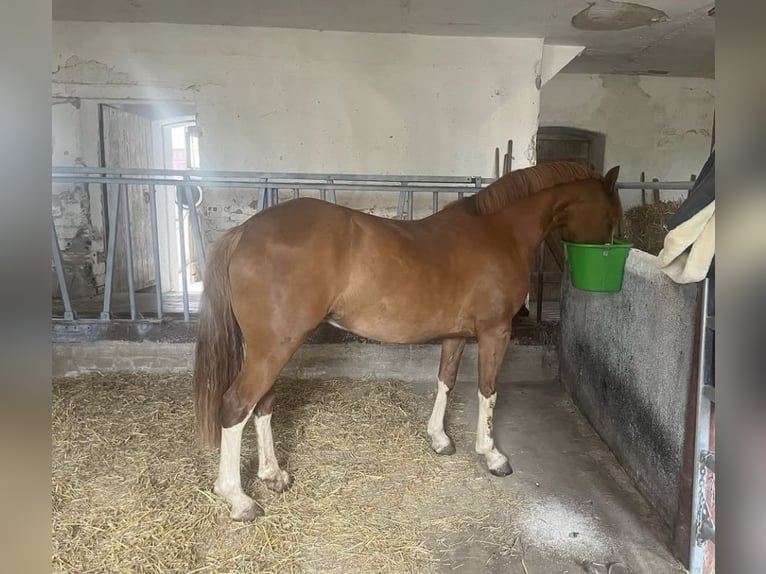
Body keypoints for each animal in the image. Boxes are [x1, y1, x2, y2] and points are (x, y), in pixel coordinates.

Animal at [192, 161, 624, 520]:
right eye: (612, 216)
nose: (609, 252)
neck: (500, 231)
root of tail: (244, 232)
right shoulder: (495, 331)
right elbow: (488, 390)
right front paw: (492, 455)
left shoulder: (455, 335)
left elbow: (446, 380)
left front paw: (440, 439)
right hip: (274, 348)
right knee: (236, 405)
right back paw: (238, 499)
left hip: (269, 349)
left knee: (262, 405)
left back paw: (273, 474)